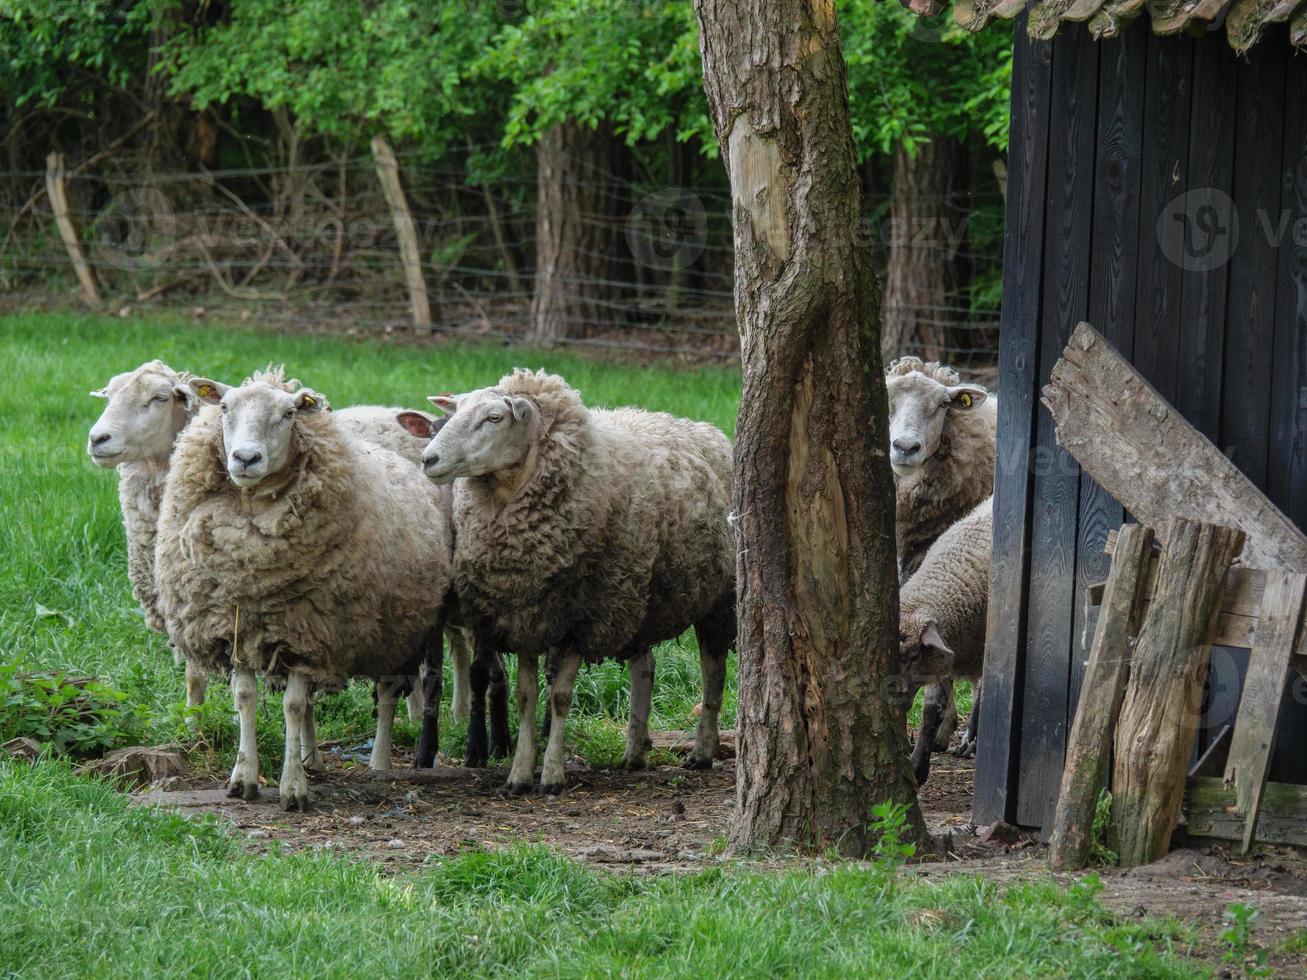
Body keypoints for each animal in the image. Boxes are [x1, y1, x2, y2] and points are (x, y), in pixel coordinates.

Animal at [154, 371, 454, 815]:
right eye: (224, 407)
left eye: (289, 413)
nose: (245, 458)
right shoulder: (239, 628)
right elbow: (245, 697)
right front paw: (243, 778)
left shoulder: (309, 631)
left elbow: (292, 706)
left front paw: (292, 788)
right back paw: (312, 757)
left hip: (398, 632)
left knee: (385, 695)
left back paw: (379, 763)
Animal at [423, 371, 742, 799]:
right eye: (454, 410)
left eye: (493, 418)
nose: (428, 459)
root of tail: (701, 427)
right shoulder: (527, 615)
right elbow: (526, 697)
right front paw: (519, 774)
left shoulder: (583, 617)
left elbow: (560, 697)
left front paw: (552, 774)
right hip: (638, 597)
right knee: (646, 668)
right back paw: (633, 752)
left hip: (715, 600)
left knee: (713, 673)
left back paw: (701, 751)